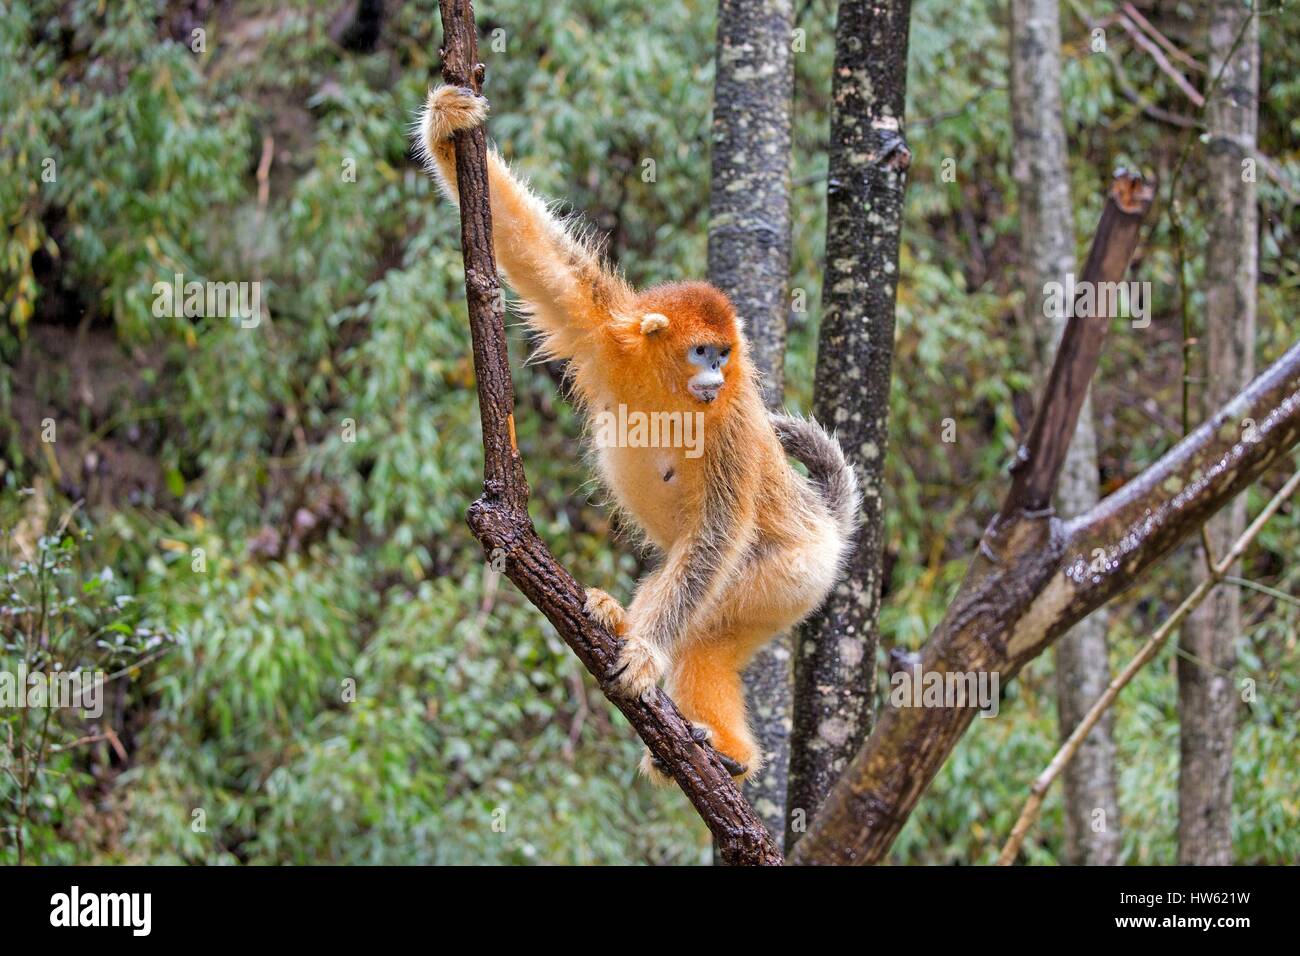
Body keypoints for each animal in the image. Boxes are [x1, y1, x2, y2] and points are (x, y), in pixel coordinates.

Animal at [416, 85, 859, 782]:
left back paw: (722, 749)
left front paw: (647, 652)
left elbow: (715, 536)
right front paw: (447, 123)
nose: (716, 373)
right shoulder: (603, 331)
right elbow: (532, 251)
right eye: (703, 351)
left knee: (706, 629)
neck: (664, 391)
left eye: (724, 355)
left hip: (792, 575)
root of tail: (827, 525)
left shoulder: (734, 422)